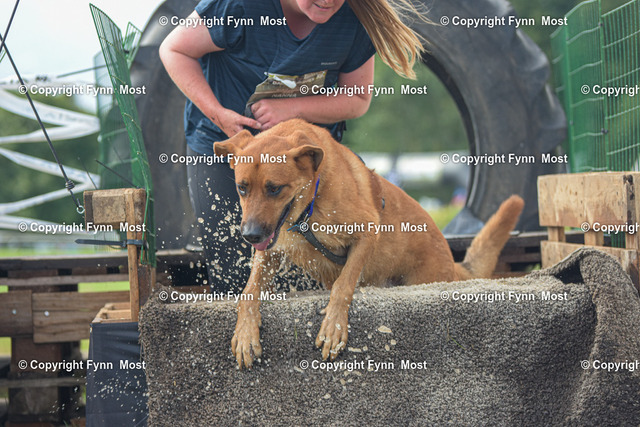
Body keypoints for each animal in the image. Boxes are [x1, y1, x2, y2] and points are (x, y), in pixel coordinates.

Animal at [214, 119, 524, 369]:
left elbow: (343, 284)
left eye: (274, 189)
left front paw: (334, 326)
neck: (310, 202)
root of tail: (452, 260)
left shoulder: (367, 232)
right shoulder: (272, 251)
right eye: (242, 188)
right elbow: (248, 292)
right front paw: (245, 333)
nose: (250, 235)